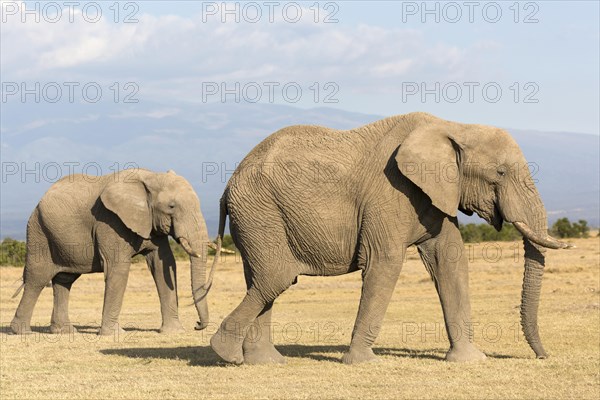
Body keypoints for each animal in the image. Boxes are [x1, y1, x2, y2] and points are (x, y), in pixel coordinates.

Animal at [11, 167, 216, 336]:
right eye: (171, 206)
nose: (197, 325)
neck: (150, 177)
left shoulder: (150, 222)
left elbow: (163, 264)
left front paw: (174, 332)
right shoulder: (109, 221)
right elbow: (118, 268)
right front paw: (114, 334)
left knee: (64, 280)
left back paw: (65, 331)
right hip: (39, 231)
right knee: (37, 279)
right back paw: (23, 332)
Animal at [211, 112, 572, 366]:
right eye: (500, 173)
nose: (543, 356)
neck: (454, 126)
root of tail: (227, 187)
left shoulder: (435, 195)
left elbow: (450, 261)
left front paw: (470, 360)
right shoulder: (389, 193)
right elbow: (384, 262)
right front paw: (363, 362)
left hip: (258, 216)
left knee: (261, 279)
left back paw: (264, 362)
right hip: (260, 211)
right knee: (277, 276)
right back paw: (225, 353)